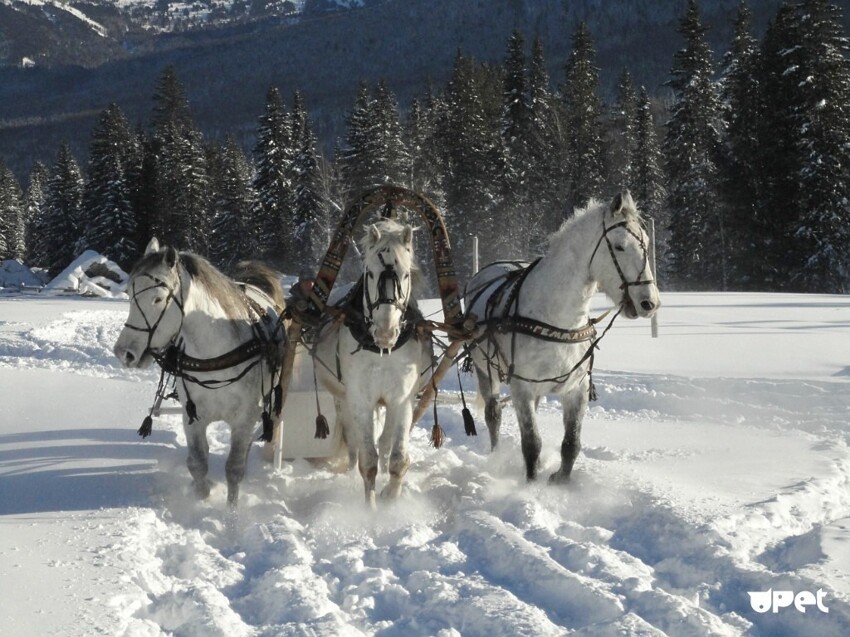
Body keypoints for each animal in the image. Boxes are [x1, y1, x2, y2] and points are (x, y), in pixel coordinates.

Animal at [112, 238, 286, 506]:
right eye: (129, 295)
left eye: (158, 299)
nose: (123, 353)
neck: (215, 354)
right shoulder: (192, 416)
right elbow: (197, 463)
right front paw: (202, 496)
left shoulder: (245, 418)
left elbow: (233, 469)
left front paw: (231, 511)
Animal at [312, 217, 430, 506]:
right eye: (370, 273)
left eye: (406, 274)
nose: (385, 332)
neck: (381, 352)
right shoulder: (360, 398)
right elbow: (367, 460)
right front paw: (371, 508)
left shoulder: (402, 398)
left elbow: (398, 457)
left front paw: (392, 496)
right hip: (343, 399)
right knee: (353, 440)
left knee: (385, 442)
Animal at [464, 191, 656, 480]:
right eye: (620, 246)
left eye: (646, 242)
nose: (649, 302)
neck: (557, 320)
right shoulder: (522, 387)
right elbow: (532, 443)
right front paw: (531, 484)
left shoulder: (576, 389)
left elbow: (571, 445)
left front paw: (559, 480)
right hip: (484, 368)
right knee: (493, 413)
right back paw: (495, 456)